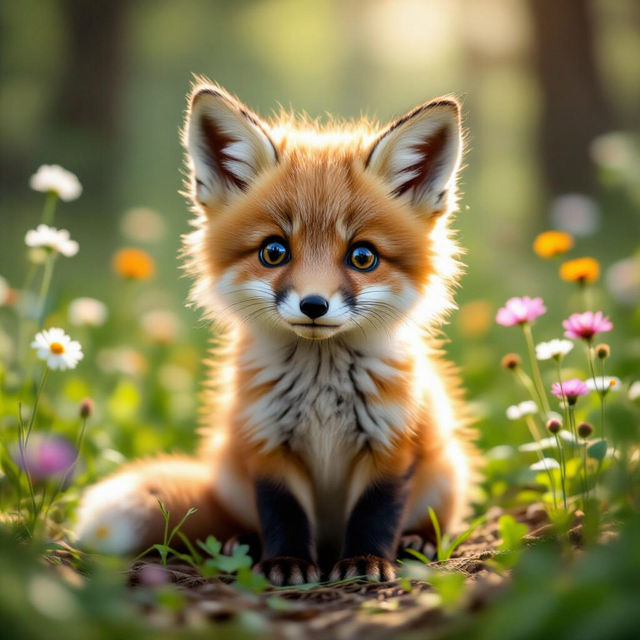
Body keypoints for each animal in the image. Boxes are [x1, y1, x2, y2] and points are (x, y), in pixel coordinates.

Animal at [75, 80, 478, 586]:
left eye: (363, 257)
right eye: (273, 252)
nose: (314, 305)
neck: (322, 391)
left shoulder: (391, 443)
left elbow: (376, 513)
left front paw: (366, 561)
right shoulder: (266, 441)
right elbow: (283, 514)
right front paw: (286, 565)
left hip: (447, 474)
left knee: (430, 523)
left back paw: (416, 542)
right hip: (233, 474)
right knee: (235, 523)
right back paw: (244, 544)